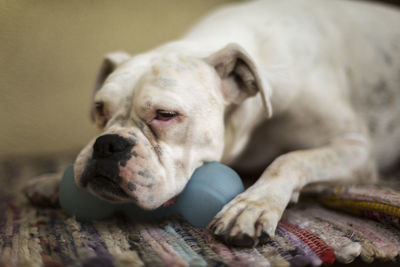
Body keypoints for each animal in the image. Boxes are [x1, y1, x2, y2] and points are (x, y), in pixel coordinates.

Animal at [25, 0, 400, 247]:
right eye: (100, 109)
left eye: (165, 115)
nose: (107, 144)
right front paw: (50, 181)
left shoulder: (356, 149)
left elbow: (290, 159)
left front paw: (252, 205)